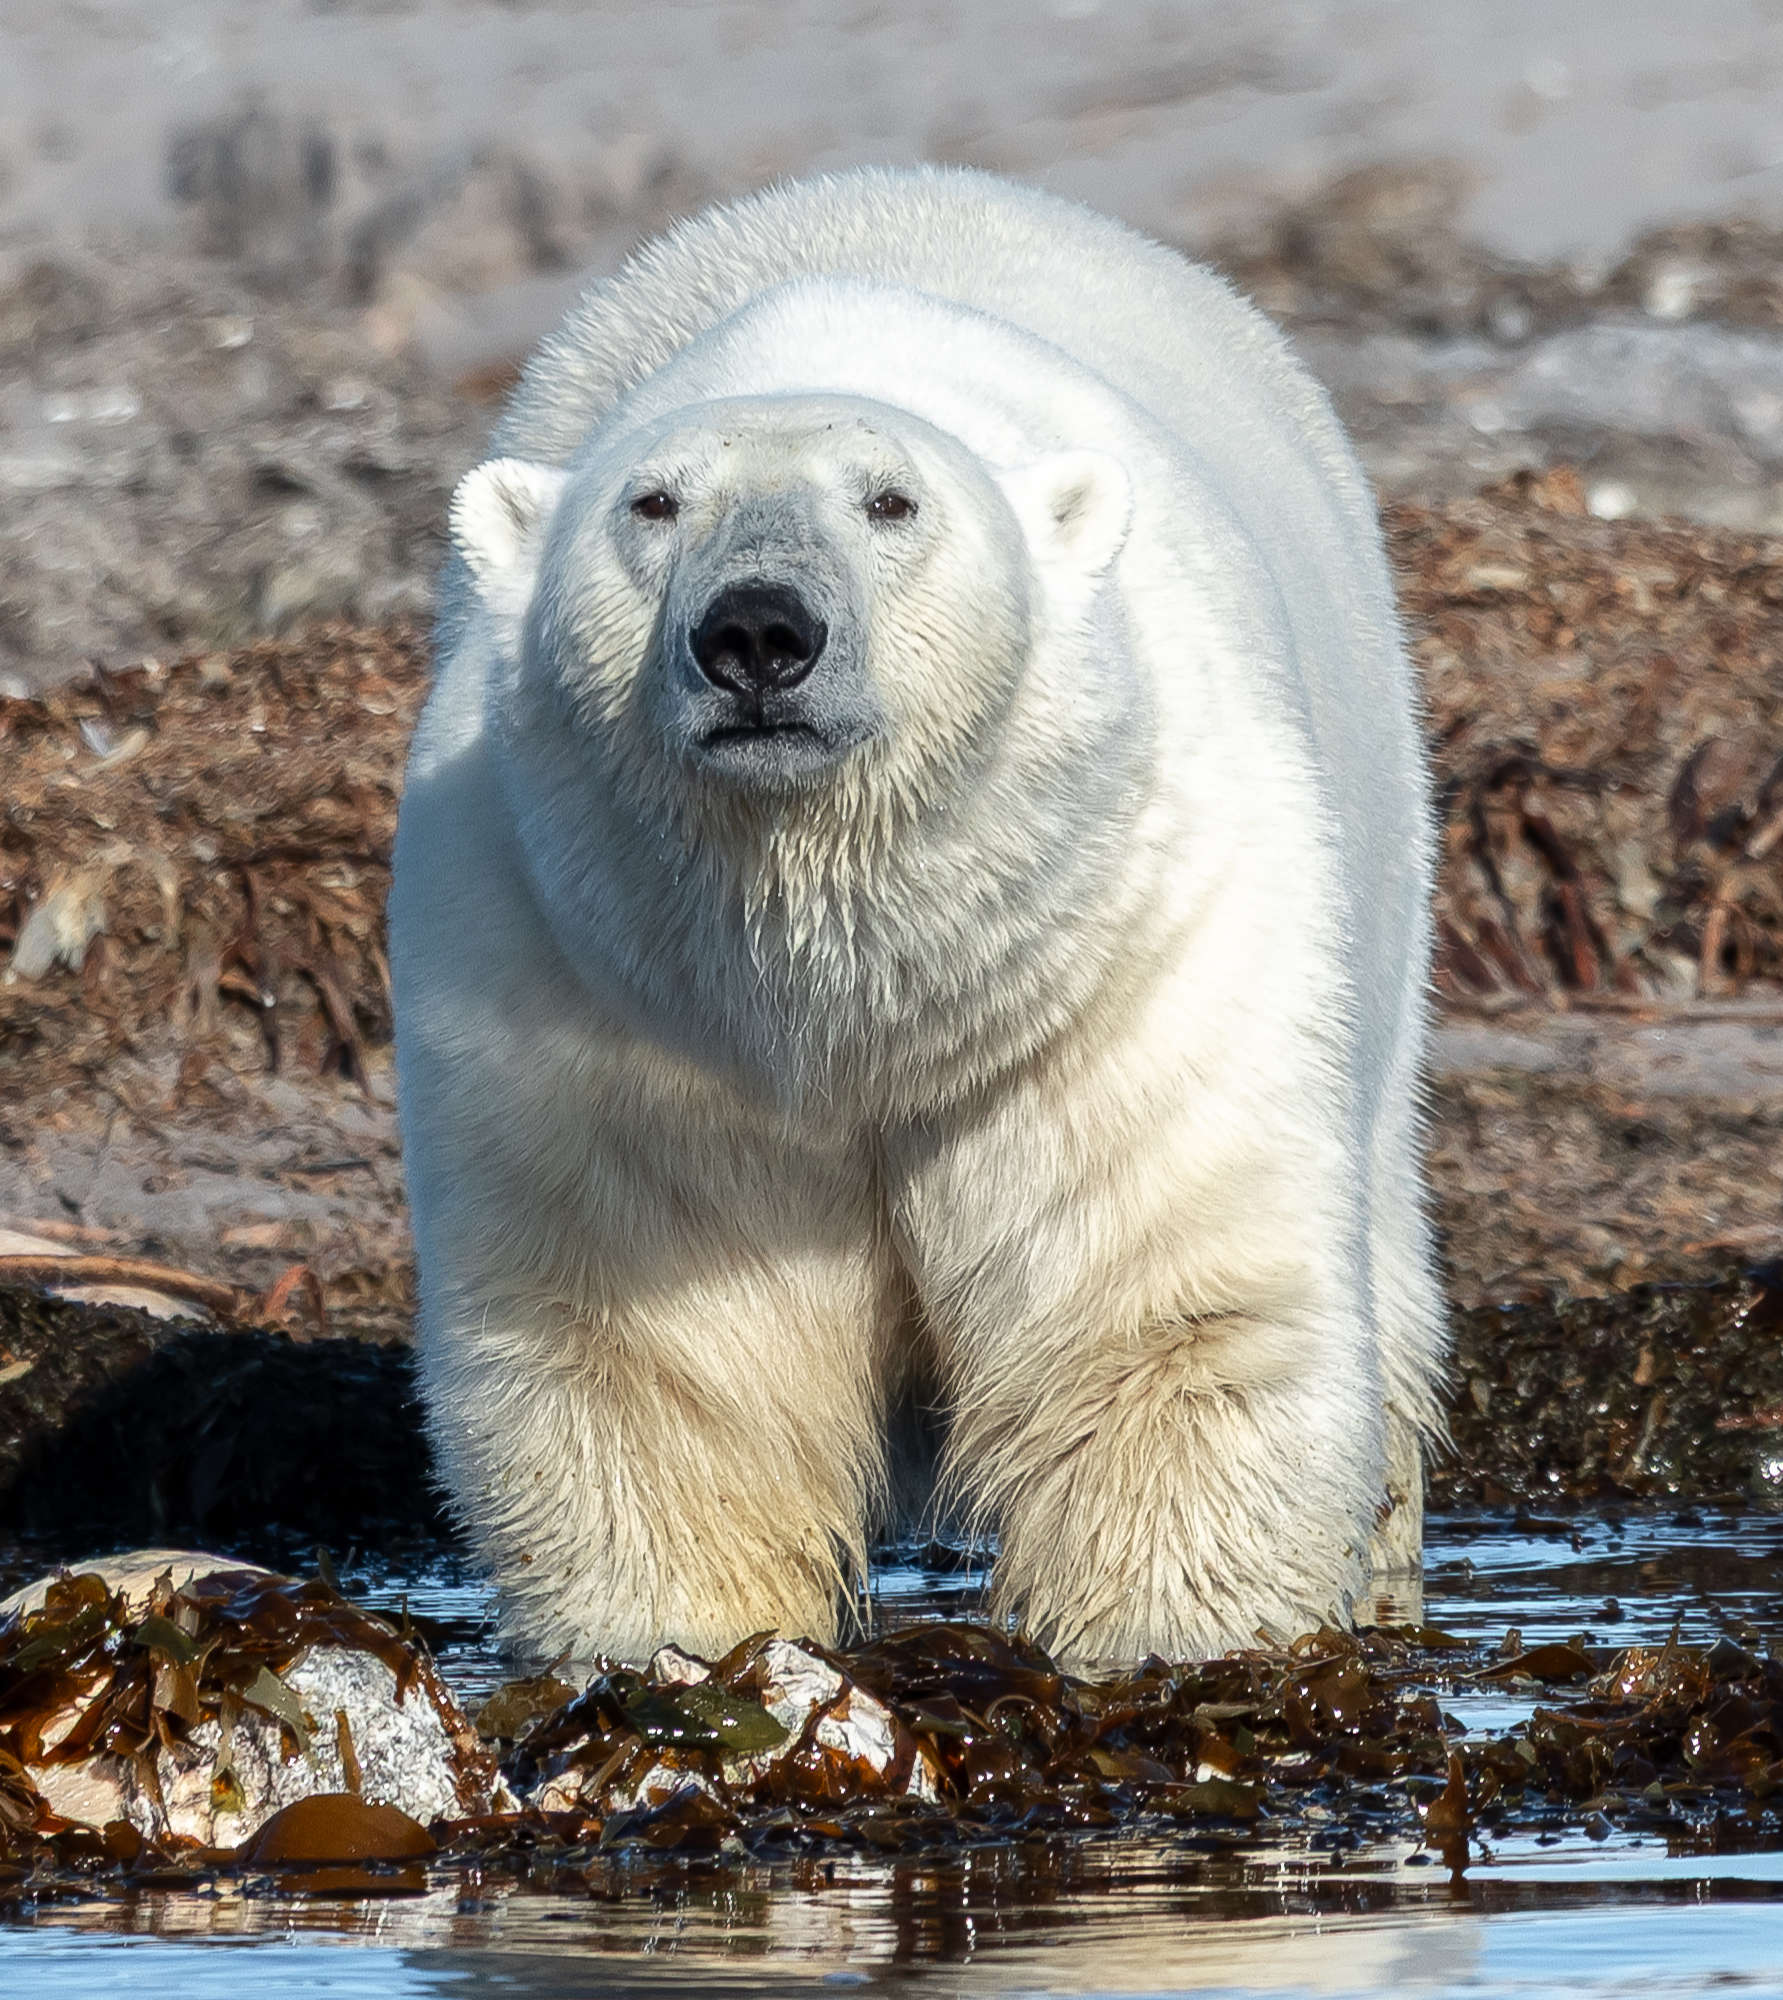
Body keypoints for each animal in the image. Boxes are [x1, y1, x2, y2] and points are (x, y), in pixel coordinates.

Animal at [389, 165, 1444, 1672]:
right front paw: (681, 1658)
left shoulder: (1124, 963)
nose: (757, 632)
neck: (851, 998)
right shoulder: (591, 990)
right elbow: (660, 1360)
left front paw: (1171, 1656)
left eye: (890, 501)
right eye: (651, 502)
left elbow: (1154, 1314)